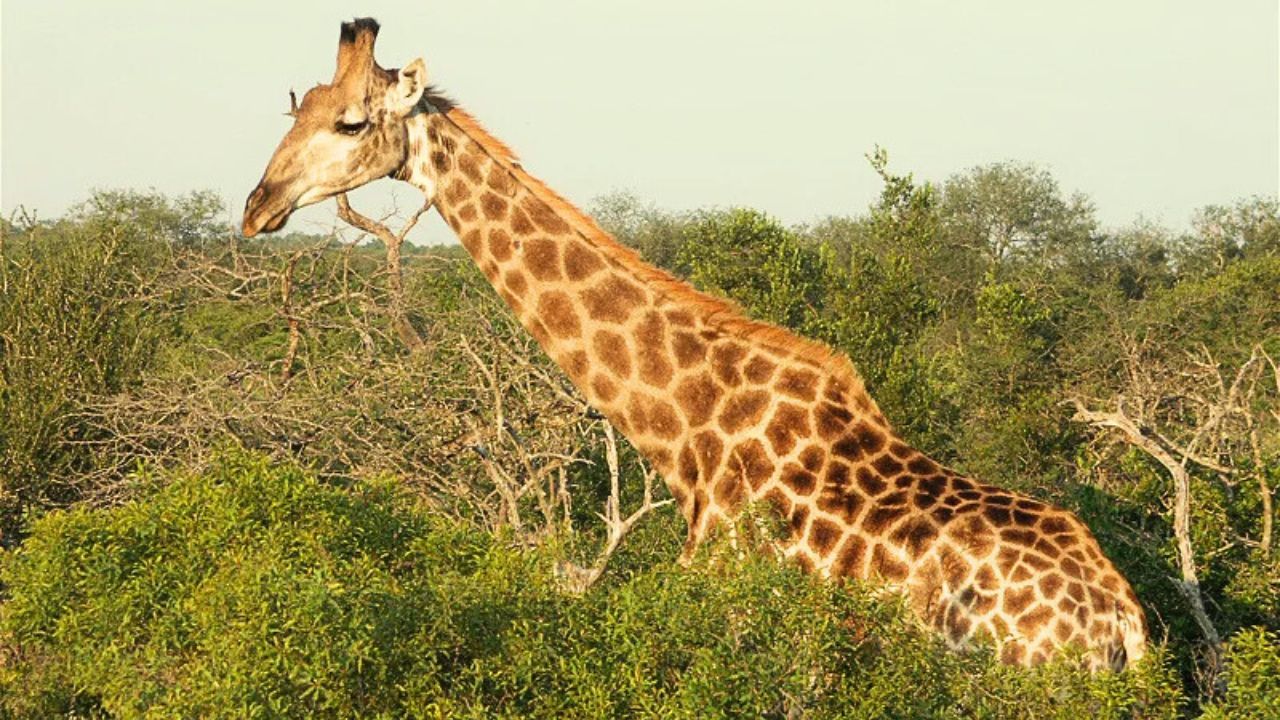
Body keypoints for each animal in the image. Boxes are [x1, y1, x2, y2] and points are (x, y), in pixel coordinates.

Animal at [242, 18, 1148, 670]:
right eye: (297, 113)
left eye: (350, 123)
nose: (257, 207)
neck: (690, 434)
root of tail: (1125, 628)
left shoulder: (740, 617)